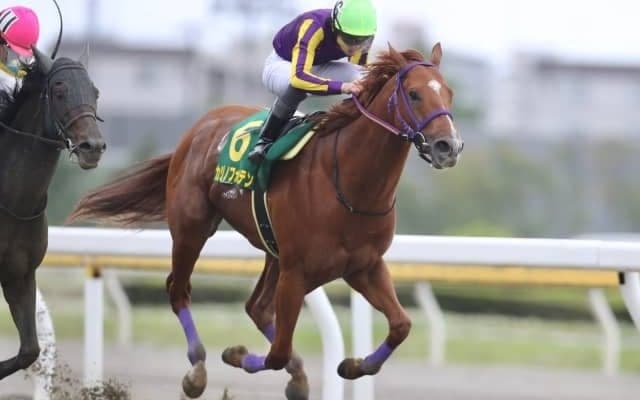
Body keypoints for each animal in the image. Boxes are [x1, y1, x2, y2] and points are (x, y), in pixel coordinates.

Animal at [0, 47, 106, 380]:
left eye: (95, 92)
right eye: (59, 91)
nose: (93, 146)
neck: (13, 203)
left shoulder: (20, 275)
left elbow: (30, 351)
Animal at [67, 43, 463, 399]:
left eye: (449, 93)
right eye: (414, 94)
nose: (448, 146)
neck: (350, 184)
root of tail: (199, 126)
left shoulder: (364, 267)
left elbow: (401, 325)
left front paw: (352, 365)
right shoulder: (297, 271)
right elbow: (278, 353)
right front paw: (236, 354)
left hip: (274, 252)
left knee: (256, 307)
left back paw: (297, 376)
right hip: (193, 229)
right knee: (179, 290)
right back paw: (197, 371)